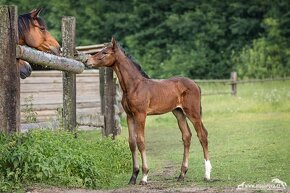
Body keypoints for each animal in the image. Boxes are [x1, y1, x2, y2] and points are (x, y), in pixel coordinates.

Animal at [85, 38, 212, 185]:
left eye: (105, 52)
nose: (87, 61)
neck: (134, 86)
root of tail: (195, 84)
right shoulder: (130, 116)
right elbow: (132, 143)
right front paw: (133, 177)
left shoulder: (141, 115)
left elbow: (141, 141)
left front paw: (144, 176)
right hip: (178, 112)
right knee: (187, 136)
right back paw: (181, 174)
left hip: (193, 113)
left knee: (202, 135)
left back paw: (207, 175)